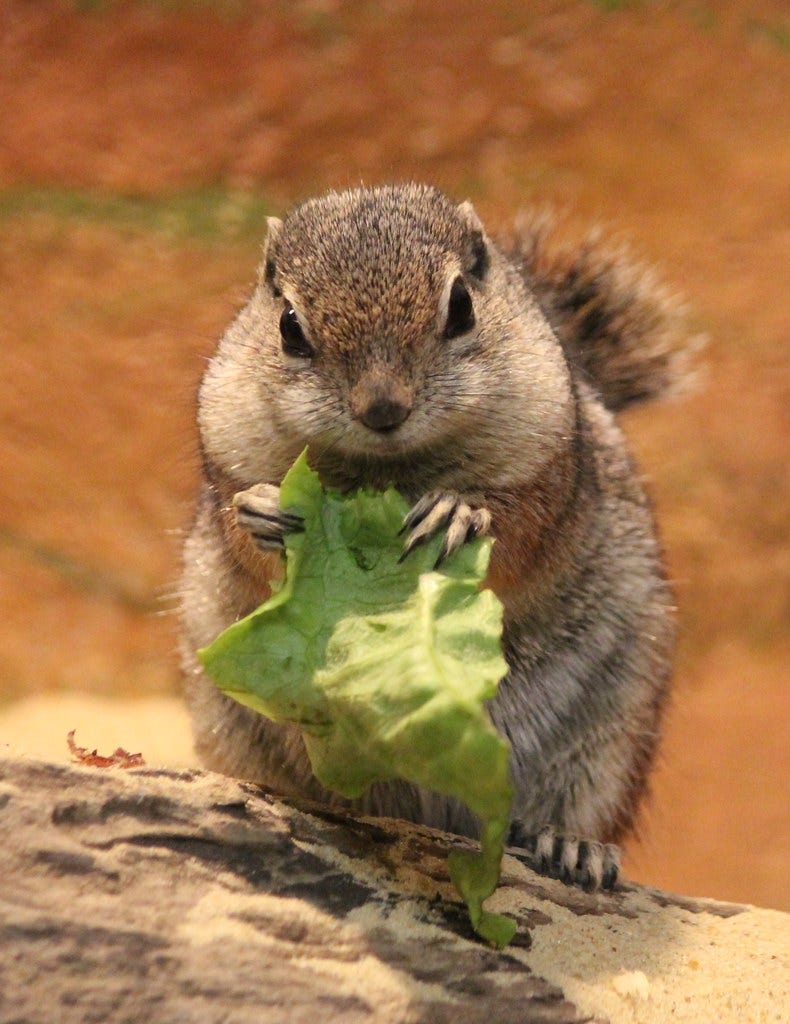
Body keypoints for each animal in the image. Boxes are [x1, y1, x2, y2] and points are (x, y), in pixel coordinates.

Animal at [180, 182, 696, 888]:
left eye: (460, 307)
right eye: (288, 326)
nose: (382, 409)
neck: (389, 473)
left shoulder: (553, 472)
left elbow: (520, 526)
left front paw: (458, 513)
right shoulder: (226, 448)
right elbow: (240, 535)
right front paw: (259, 512)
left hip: (613, 738)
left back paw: (571, 846)